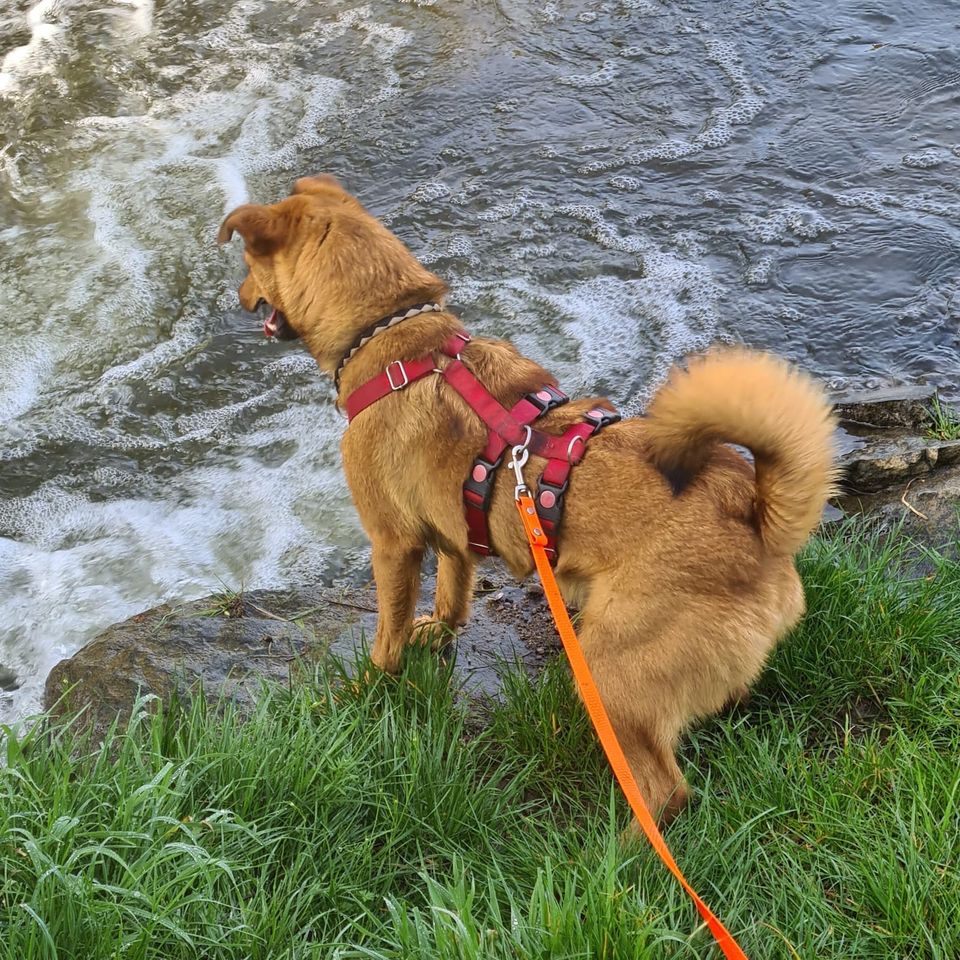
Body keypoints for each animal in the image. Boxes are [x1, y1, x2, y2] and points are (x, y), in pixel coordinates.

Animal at [221, 176, 836, 820]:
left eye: (248, 265)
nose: (237, 297)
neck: (389, 330)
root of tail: (754, 515)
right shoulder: (453, 532)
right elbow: (454, 589)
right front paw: (440, 628)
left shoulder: (392, 545)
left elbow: (387, 634)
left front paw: (368, 689)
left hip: (611, 669)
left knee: (665, 790)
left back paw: (619, 842)